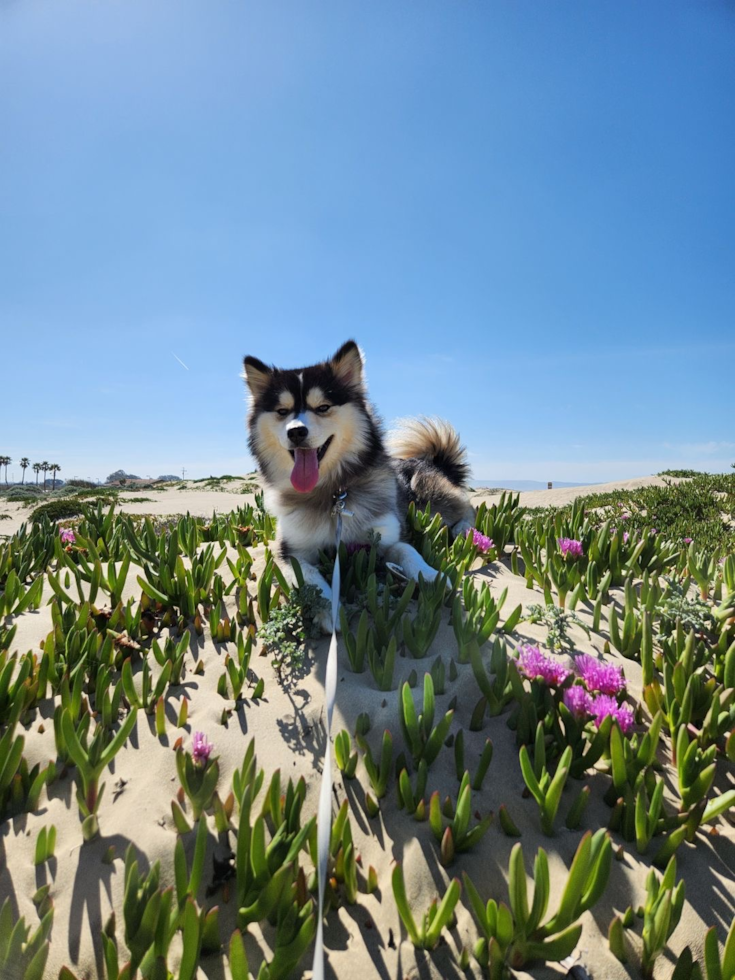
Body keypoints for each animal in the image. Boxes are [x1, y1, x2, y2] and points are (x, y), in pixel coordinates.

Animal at [244, 340, 478, 632]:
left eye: (323, 407)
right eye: (282, 412)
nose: (296, 431)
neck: (333, 493)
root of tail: (431, 460)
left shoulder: (386, 535)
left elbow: (407, 549)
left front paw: (429, 574)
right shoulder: (290, 551)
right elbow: (309, 575)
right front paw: (328, 608)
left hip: (431, 497)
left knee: (467, 507)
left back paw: (463, 529)